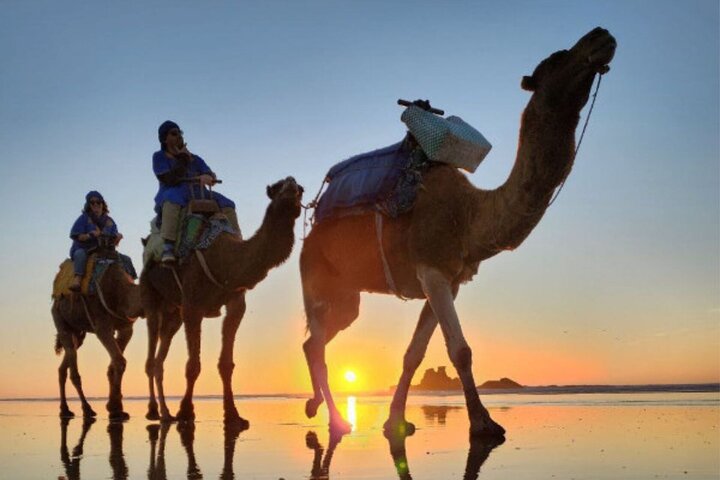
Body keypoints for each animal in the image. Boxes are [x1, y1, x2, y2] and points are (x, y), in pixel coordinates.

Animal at [52, 253, 143, 421]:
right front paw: (116, 409)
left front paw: (114, 407)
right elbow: (119, 361)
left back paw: (65, 410)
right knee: (72, 365)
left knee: (65, 364)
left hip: (78, 332)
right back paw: (87, 409)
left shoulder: (126, 328)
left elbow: (114, 363)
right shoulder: (102, 326)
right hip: (60, 318)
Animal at [141, 176, 303, 427]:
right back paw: (152, 411)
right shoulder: (192, 305)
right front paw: (186, 412)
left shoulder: (235, 303)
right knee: (151, 354)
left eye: (300, 191)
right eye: (278, 189)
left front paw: (233, 415)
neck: (224, 260)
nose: (292, 184)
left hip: (174, 312)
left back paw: (166, 413)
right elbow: (193, 365)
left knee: (160, 358)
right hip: (151, 295)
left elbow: (226, 364)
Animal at [300, 27, 617, 438]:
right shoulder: (431, 270)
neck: (469, 217)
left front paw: (396, 420)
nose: (600, 35)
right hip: (317, 277)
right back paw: (337, 420)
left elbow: (414, 353)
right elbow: (460, 350)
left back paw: (316, 407)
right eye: (556, 59)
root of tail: (309, 231)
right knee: (317, 344)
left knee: (315, 341)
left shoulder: (449, 281)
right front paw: (484, 423)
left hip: (347, 294)